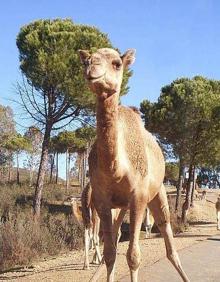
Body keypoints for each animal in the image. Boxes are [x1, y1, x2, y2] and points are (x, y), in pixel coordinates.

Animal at [79, 47, 189, 280]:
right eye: (86, 61)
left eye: (116, 63)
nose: (92, 68)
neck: (116, 169)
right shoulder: (102, 200)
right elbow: (110, 253)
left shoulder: (138, 197)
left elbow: (133, 256)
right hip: (118, 206)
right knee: (113, 237)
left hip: (157, 193)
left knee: (169, 241)